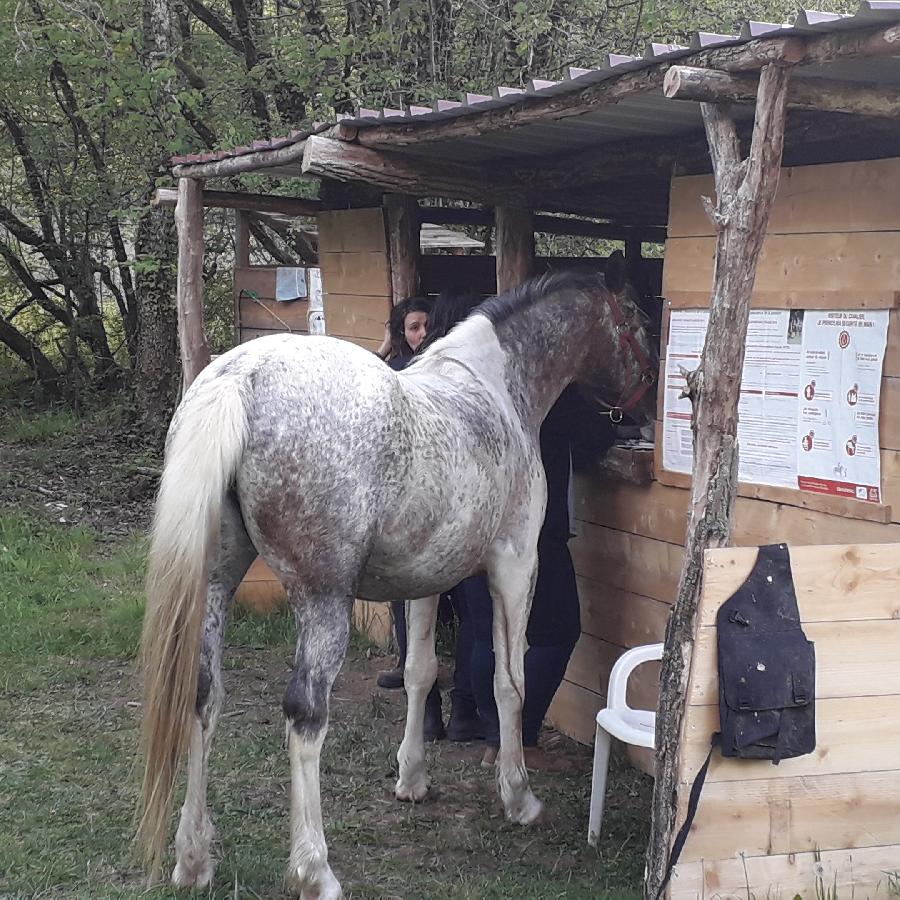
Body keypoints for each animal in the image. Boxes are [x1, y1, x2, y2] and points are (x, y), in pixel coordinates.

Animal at [134, 256, 652, 896]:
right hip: (322, 600)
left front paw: (412, 779)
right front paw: (518, 797)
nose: (641, 409)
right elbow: (509, 681)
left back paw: (193, 858)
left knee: (203, 695)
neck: (497, 388)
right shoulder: (513, 564)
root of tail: (242, 375)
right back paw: (315, 870)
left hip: (214, 585)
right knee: (305, 714)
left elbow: (419, 672)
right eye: (638, 321)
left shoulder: (427, 579)